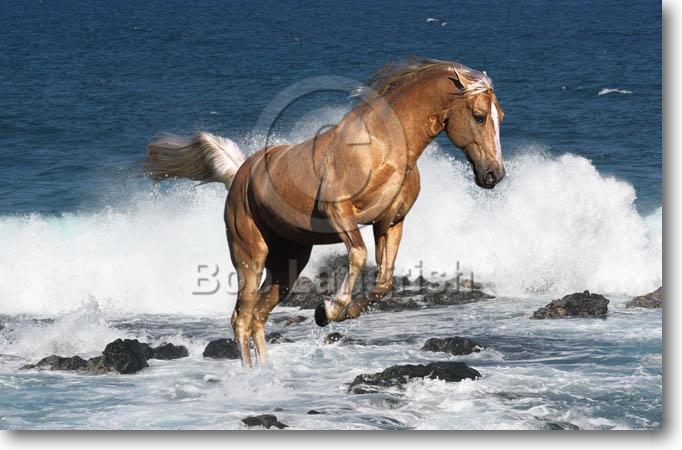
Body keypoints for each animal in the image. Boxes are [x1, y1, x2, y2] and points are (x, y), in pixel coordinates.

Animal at [146, 57, 505, 367]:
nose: (494, 174)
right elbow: (359, 255)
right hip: (250, 255)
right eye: (478, 116)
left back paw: (268, 375)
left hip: (288, 263)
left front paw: (344, 311)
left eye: (500, 116)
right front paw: (329, 310)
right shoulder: (340, 213)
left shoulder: (390, 222)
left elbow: (384, 281)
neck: (383, 146)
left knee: (259, 316)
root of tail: (239, 175)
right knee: (241, 317)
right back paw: (250, 380)